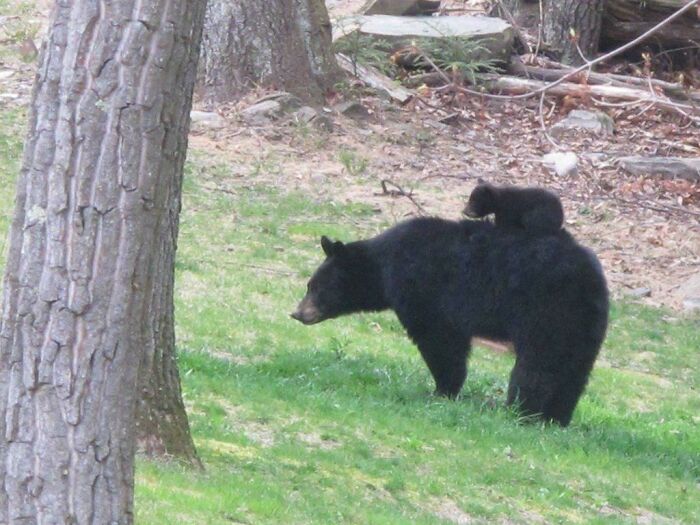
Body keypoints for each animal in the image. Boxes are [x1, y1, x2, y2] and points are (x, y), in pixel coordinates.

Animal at [292, 217, 608, 426]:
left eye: (316, 287)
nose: (297, 313)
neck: (383, 266)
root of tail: (589, 279)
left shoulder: (424, 289)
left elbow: (440, 340)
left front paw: (443, 390)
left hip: (545, 313)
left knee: (538, 368)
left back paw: (521, 411)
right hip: (583, 326)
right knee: (574, 371)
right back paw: (557, 417)